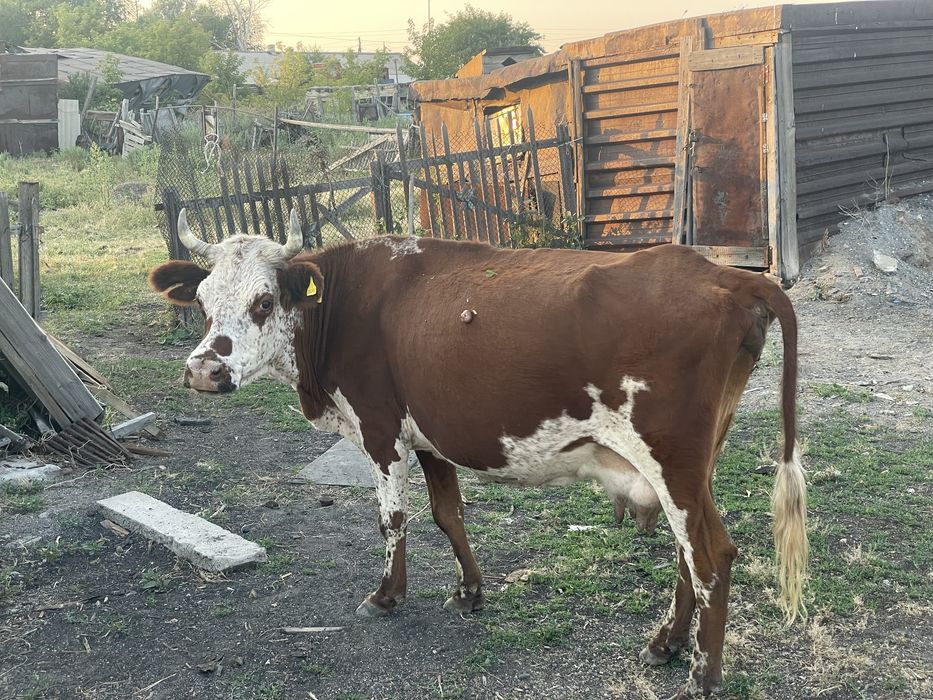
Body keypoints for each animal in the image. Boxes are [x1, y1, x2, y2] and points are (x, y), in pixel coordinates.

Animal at [149, 210, 808, 699]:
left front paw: (387, 596)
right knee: (687, 550)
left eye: (263, 301)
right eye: (202, 301)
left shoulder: (380, 430)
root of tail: (726, 275)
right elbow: (449, 513)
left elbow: (394, 519)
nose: (204, 370)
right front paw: (470, 592)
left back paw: (702, 676)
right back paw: (666, 642)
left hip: (670, 456)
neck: (340, 307)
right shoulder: (430, 432)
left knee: (711, 554)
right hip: (691, 464)